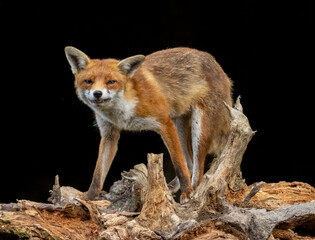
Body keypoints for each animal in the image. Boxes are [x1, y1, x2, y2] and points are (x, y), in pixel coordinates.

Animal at [65, 46, 232, 202]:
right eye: (88, 81)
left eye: (111, 82)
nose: (97, 93)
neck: (122, 112)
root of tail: (213, 60)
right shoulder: (109, 135)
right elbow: (98, 174)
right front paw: (89, 198)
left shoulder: (164, 122)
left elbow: (178, 164)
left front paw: (187, 192)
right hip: (179, 126)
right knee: (189, 163)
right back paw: (173, 187)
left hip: (198, 129)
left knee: (198, 167)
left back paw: (193, 191)